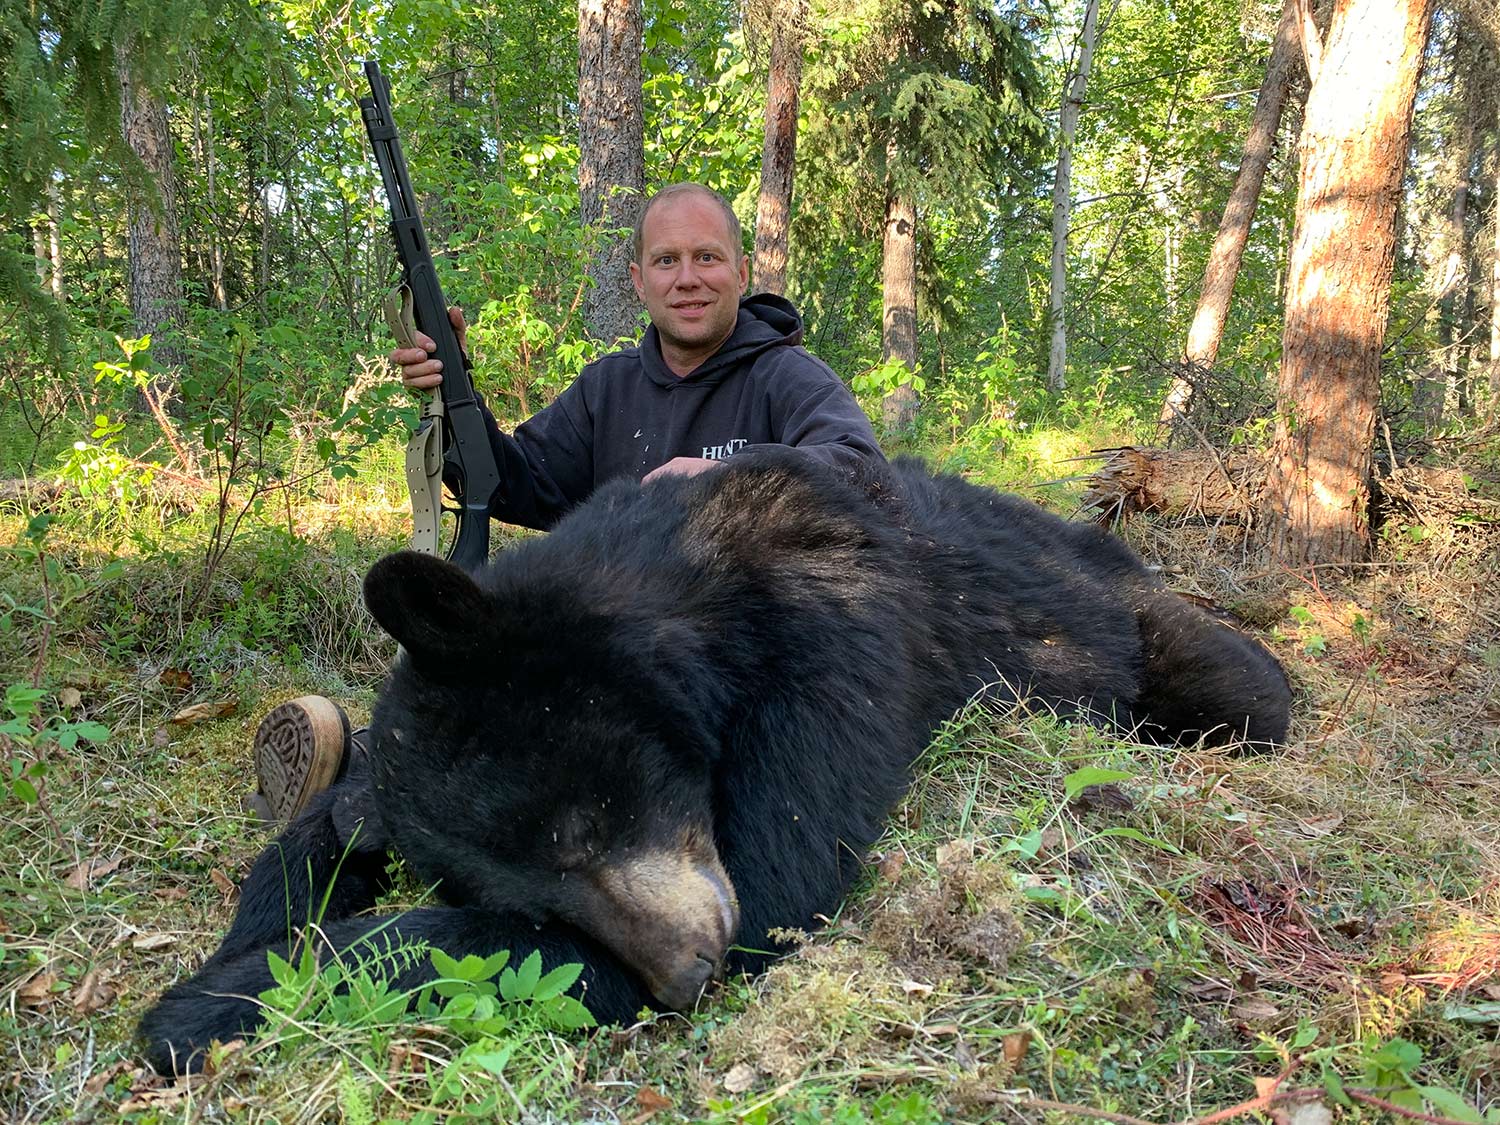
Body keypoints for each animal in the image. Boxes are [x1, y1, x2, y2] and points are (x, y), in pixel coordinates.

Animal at [141, 453, 1290, 1080]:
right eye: (519, 891)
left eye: (578, 823)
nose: (687, 972)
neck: (699, 593)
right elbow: (343, 825)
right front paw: (263, 920)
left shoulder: (834, 637)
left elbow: (782, 873)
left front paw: (207, 1004)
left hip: (1144, 631)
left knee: (1243, 690)